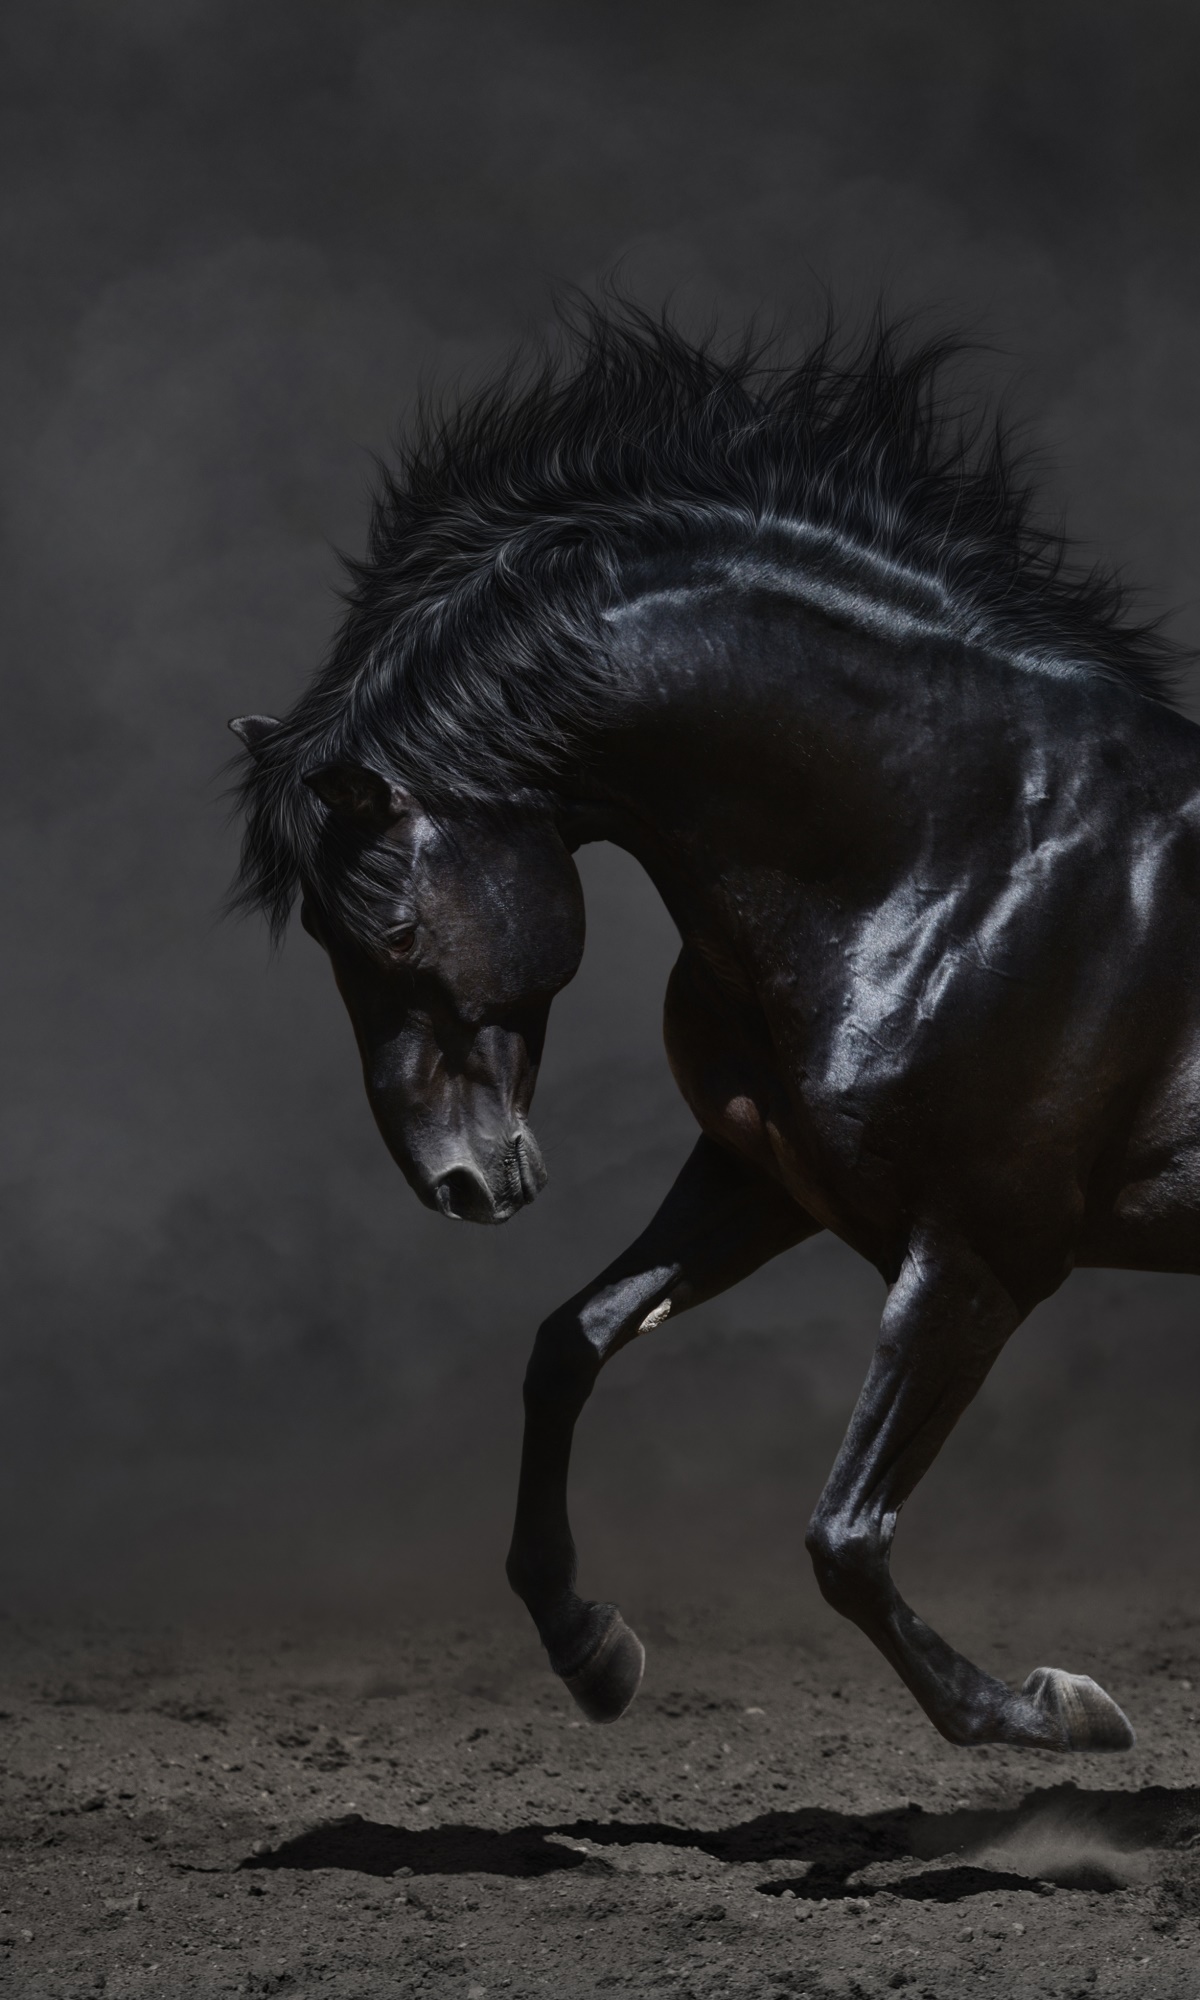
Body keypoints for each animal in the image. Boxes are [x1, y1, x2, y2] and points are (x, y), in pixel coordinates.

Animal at [229, 304, 1200, 1754]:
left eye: (390, 932)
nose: (458, 1181)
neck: (962, 846)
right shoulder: (760, 1178)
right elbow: (569, 1344)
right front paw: (590, 1648)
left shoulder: (979, 1254)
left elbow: (845, 1536)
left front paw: (1051, 1710)